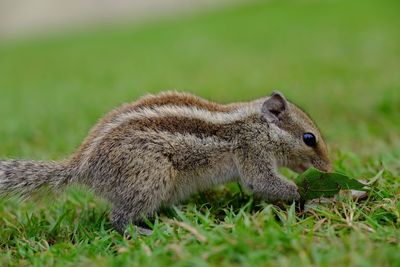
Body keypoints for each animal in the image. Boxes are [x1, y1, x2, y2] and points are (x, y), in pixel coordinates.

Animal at [0, 91, 332, 234]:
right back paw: (147, 232)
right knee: (118, 220)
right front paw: (313, 195)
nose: (329, 168)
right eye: (309, 138)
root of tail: (82, 165)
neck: (255, 123)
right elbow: (263, 182)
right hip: (151, 175)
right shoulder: (252, 151)